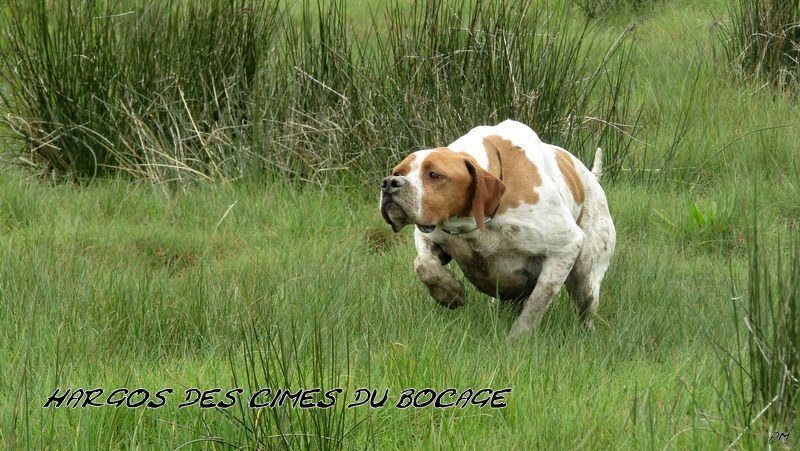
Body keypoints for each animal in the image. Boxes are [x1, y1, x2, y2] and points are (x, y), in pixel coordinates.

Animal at [382, 120, 620, 340]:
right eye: (398, 171)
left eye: (434, 175)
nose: (389, 183)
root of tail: (591, 177)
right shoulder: (430, 236)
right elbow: (424, 264)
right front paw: (450, 293)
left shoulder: (566, 245)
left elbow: (537, 302)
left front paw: (517, 339)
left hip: (585, 280)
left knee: (585, 308)